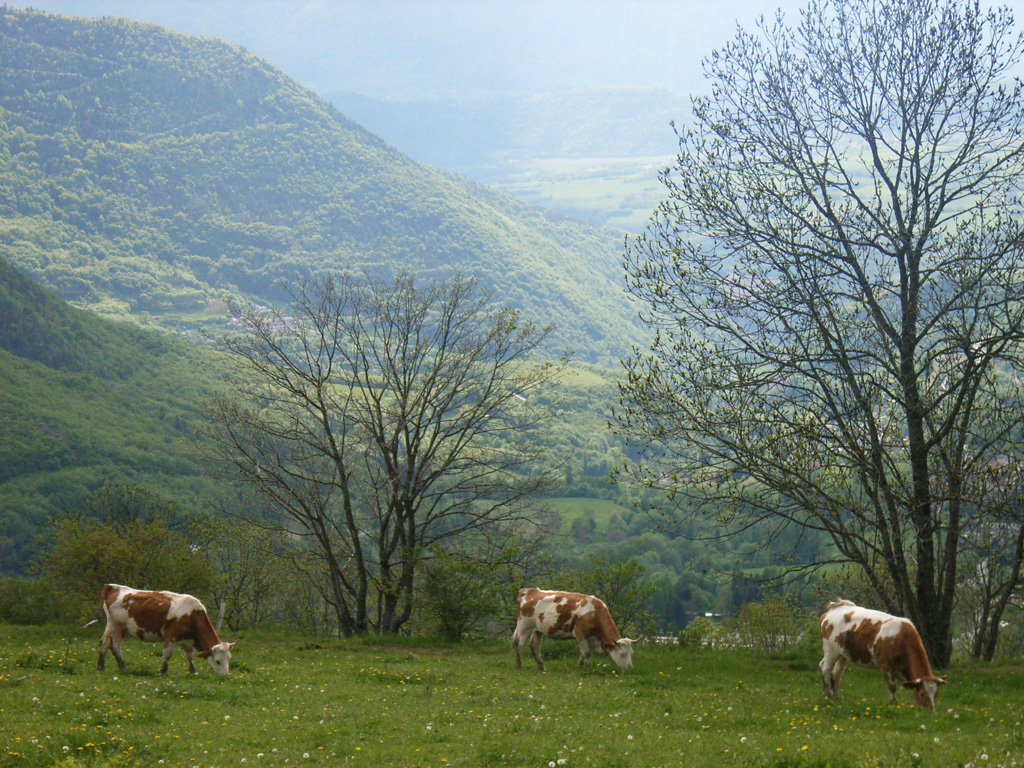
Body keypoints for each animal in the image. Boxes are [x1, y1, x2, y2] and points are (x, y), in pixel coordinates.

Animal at [98, 585, 235, 675]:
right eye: (217, 661)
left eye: (228, 659)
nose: (225, 675)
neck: (192, 614)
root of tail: (113, 586)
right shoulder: (171, 637)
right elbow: (167, 654)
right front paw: (163, 672)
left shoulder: (187, 640)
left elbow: (189, 656)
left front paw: (192, 672)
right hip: (115, 626)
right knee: (113, 646)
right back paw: (119, 667)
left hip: (115, 628)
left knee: (107, 644)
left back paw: (104, 666)